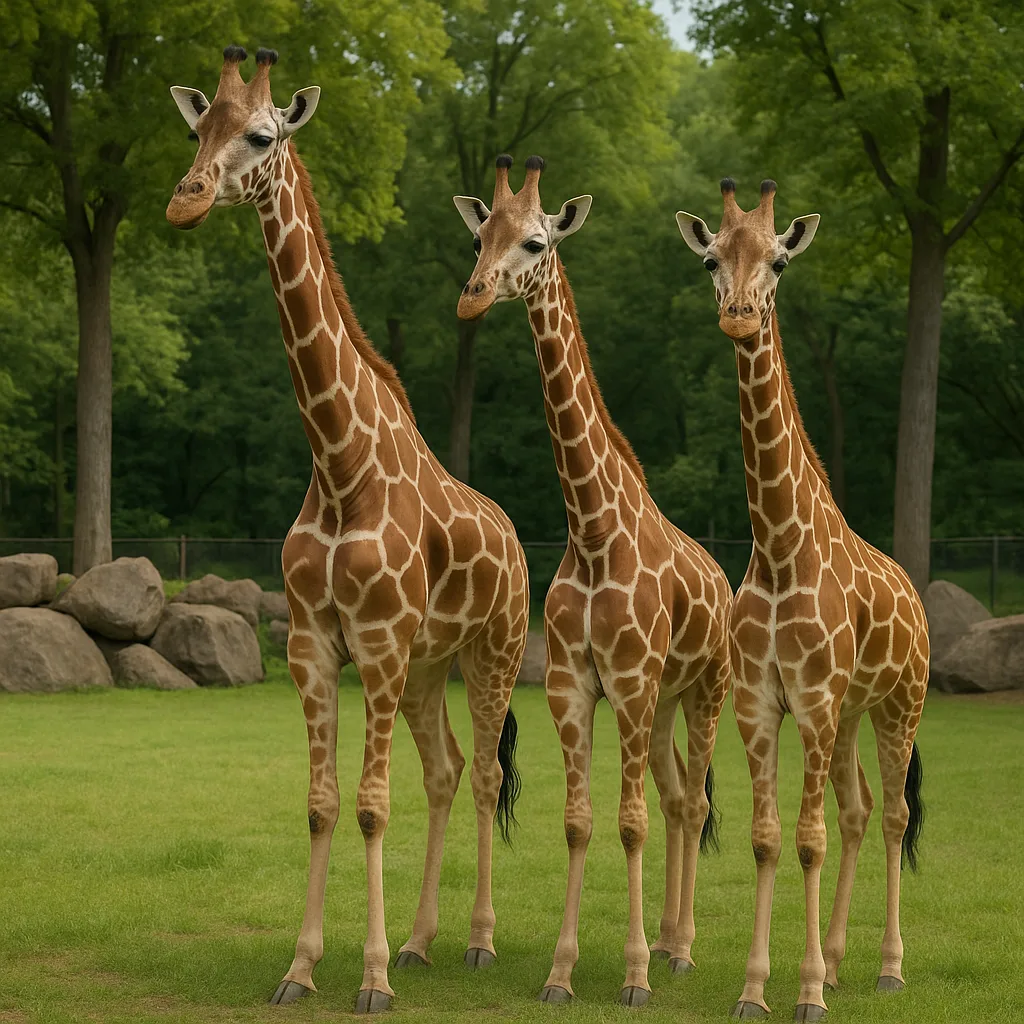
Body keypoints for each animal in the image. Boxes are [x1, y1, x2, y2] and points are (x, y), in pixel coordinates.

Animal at [166, 47, 530, 1014]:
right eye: (198, 127)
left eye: (261, 135)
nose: (185, 197)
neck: (338, 464)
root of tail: (519, 541)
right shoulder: (316, 643)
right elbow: (324, 803)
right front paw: (302, 968)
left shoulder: (379, 639)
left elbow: (371, 804)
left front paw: (367, 981)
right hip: (429, 665)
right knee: (445, 771)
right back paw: (419, 942)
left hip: (492, 650)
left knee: (484, 773)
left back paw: (476, 943)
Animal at [453, 155, 734, 1007]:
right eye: (479, 235)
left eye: (536, 241)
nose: (473, 293)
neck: (591, 527)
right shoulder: (574, 682)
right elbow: (582, 821)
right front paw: (561, 971)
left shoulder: (631, 679)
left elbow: (628, 820)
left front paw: (635, 975)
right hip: (666, 699)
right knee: (676, 799)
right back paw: (671, 940)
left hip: (706, 689)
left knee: (693, 801)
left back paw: (680, 952)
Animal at [676, 179, 928, 1021]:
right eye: (712, 259)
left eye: (780, 259)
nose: (739, 314)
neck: (782, 550)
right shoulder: (763, 702)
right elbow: (768, 836)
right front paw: (758, 988)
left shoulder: (813, 701)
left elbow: (807, 838)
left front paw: (808, 991)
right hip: (850, 714)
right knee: (855, 811)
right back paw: (846, 961)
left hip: (900, 703)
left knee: (891, 814)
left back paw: (887, 967)